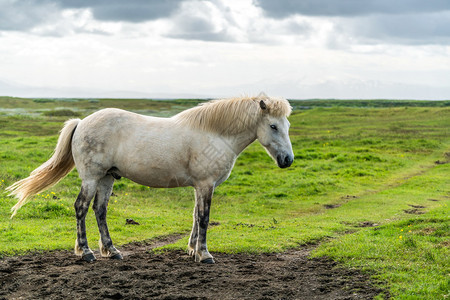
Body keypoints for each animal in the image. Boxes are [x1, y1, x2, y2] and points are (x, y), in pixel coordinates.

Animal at [8, 94, 296, 262]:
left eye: (287, 126)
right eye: (273, 126)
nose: (288, 160)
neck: (215, 133)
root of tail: (81, 122)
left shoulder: (199, 186)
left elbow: (195, 215)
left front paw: (192, 249)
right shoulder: (206, 185)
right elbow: (204, 217)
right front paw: (204, 254)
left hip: (107, 178)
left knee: (99, 210)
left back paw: (111, 251)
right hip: (91, 177)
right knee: (81, 207)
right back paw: (86, 252)